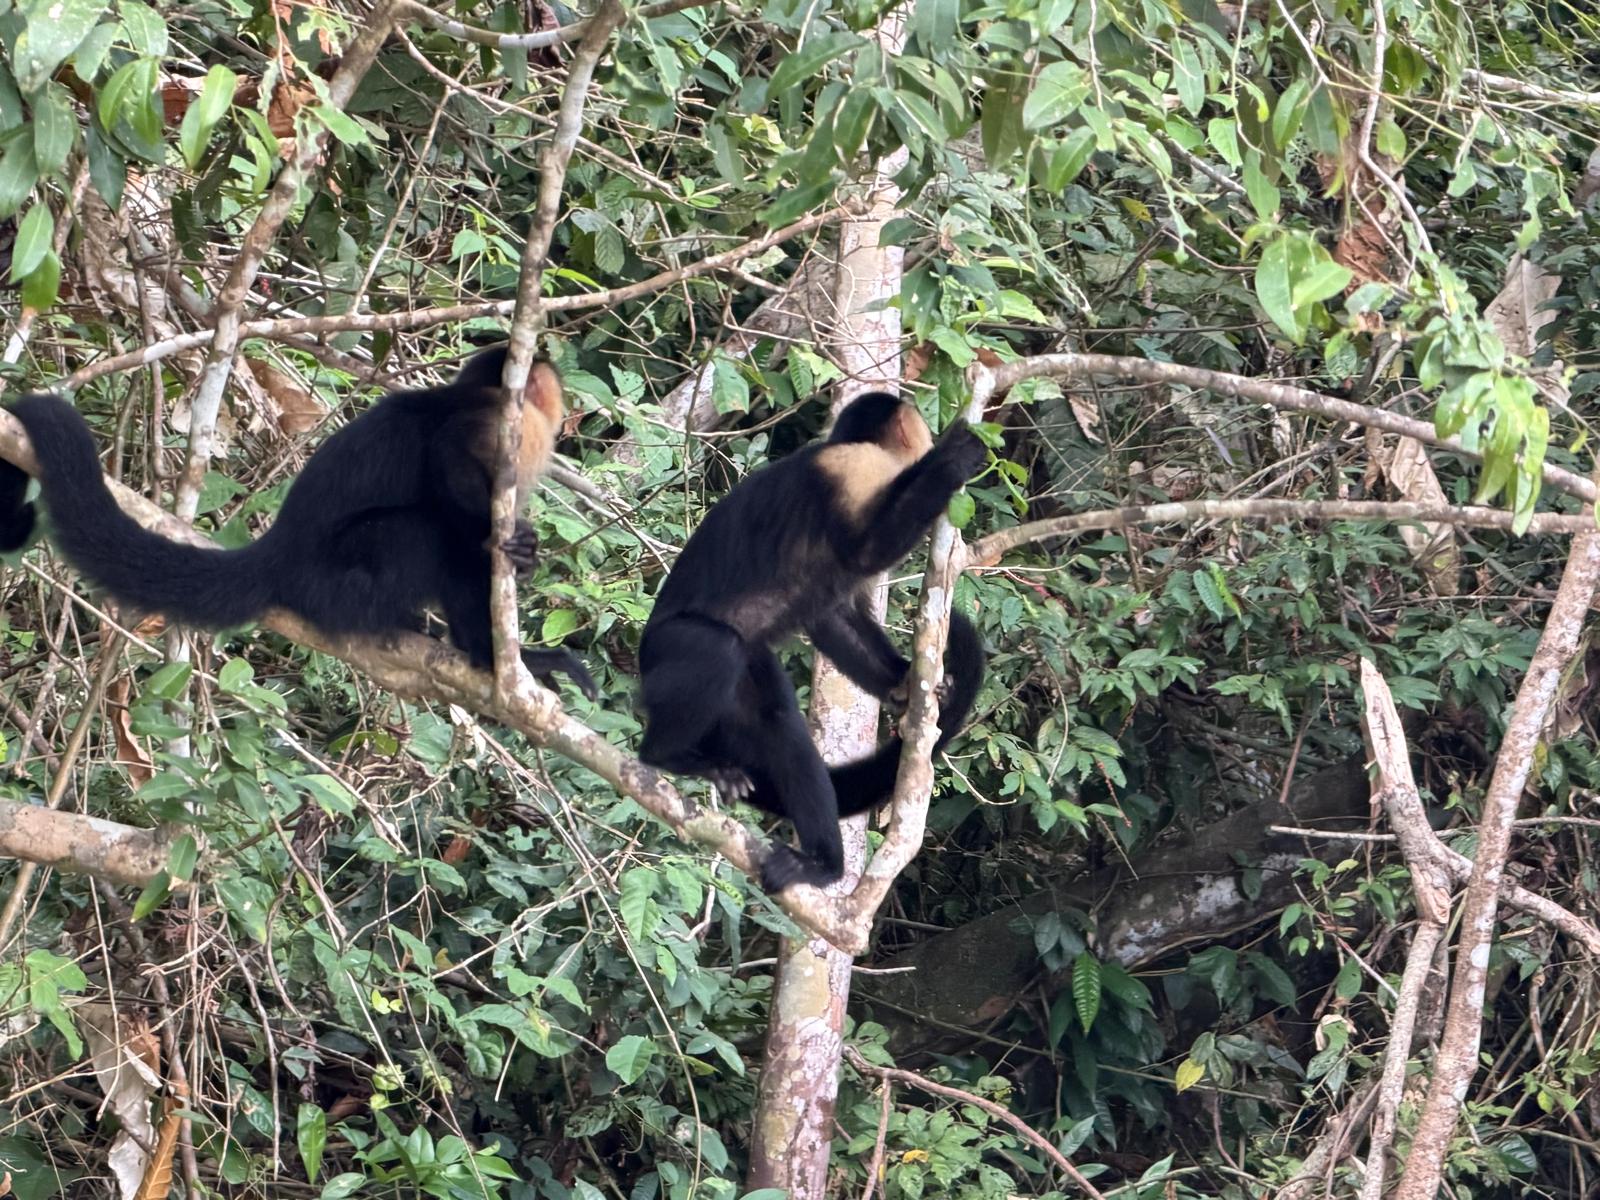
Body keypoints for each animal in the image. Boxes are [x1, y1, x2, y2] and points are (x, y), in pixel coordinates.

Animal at [0, 344, 597, 698]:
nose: (568, 401)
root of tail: (275, 556)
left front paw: (523, 557)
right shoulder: (501, 422)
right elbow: (446, 461)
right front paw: (506, 542)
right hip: (332, 582)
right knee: (425, 533)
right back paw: (485, 652)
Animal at [636, 391, 988, 893]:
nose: (929, 435)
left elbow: (831, 619)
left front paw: (904, 684)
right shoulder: (855, 466)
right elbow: (865, 551)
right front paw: (954, 458)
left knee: (779, 721)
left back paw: (820, 865)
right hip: (668, 649)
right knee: (716, 649)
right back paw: (667, 754)